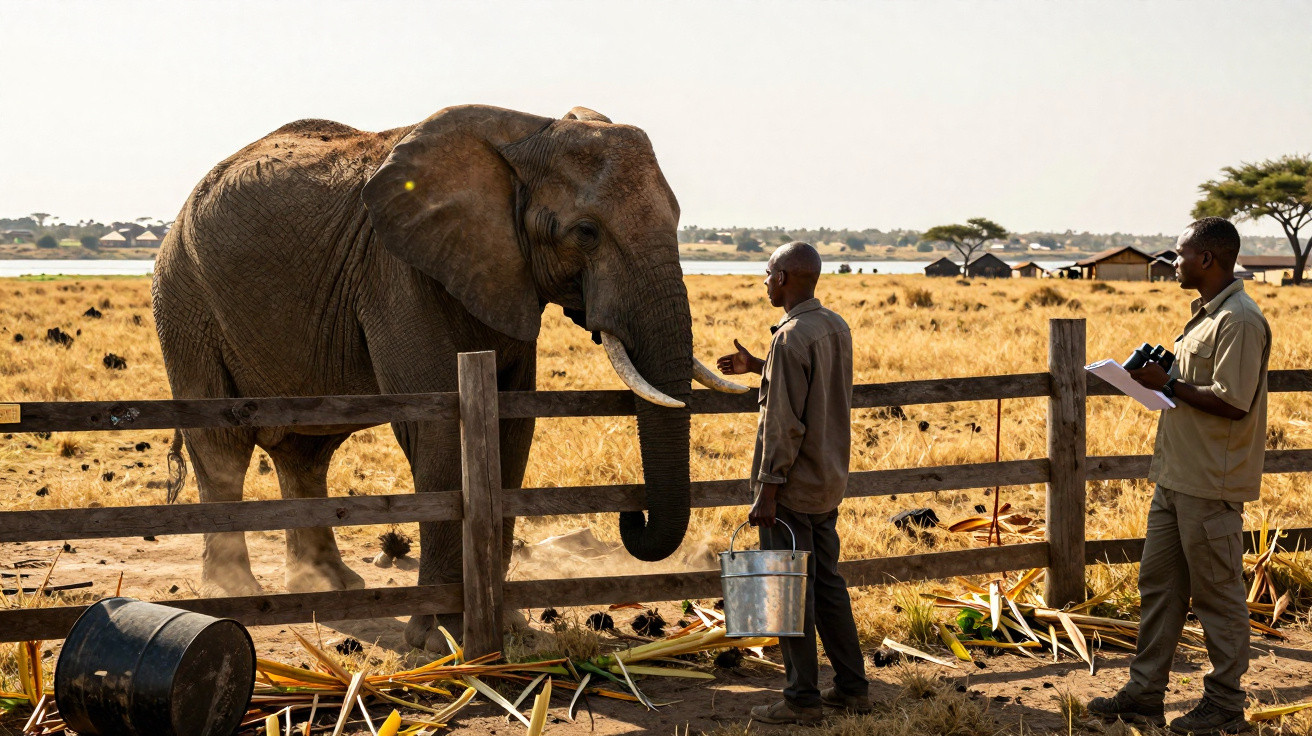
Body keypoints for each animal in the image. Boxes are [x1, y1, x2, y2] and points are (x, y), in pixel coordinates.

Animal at [152, 104, 747, 651]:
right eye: (586, 232)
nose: (631, 517)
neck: (526, 131)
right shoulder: (397, 273)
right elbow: (438, 434)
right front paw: (439, 641)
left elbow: (512, 427)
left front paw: (510, 630)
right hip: (184, 298)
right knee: (224, 447)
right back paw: (235, 593)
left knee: (307, 450)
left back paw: (330, 586)